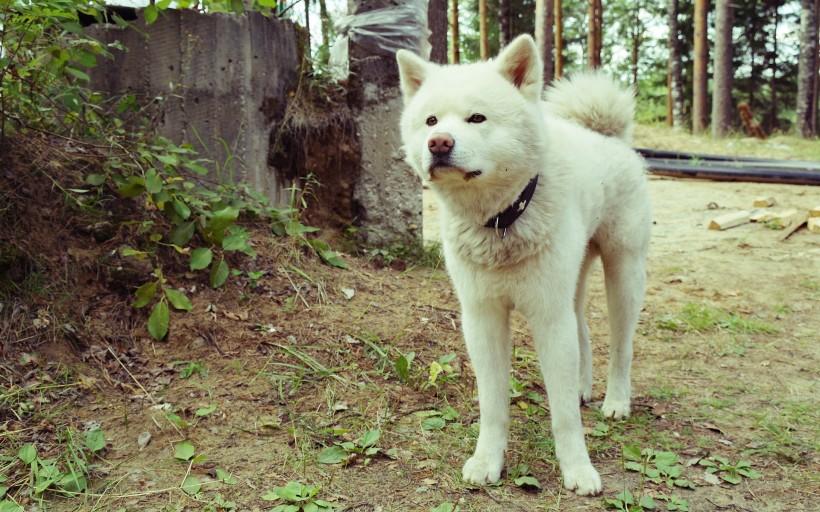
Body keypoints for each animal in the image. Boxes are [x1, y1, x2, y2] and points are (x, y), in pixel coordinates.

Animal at [398, 34, 652, 494]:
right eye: (430, 120)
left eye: (477, 118)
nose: (439, 142)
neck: (502, 220)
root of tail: (604, 134)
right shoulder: (483, 318)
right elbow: (493, 404)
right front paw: (487, 461)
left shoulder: (548, 317)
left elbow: (564, 415)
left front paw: (577, 469)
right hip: (572, 284)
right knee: (584, 331)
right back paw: (585, 387)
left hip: (623, 275)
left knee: (621, 346)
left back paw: (616, 400)